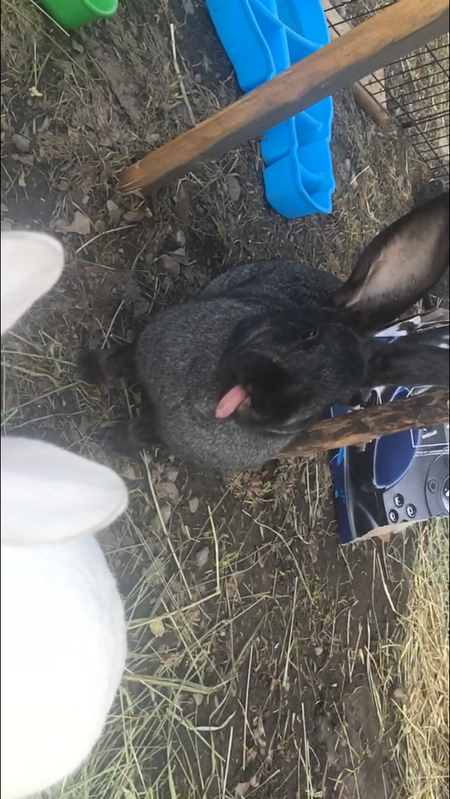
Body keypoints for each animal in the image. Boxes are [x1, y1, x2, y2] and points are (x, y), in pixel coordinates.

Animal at [80, 192, 449, 473]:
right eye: (309, 333)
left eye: (336, 400)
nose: (271, 400)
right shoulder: (147, 345)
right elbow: (118, 361)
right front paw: (87, 370)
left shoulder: (161, 431)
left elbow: (139, 433)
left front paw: (111, 442)